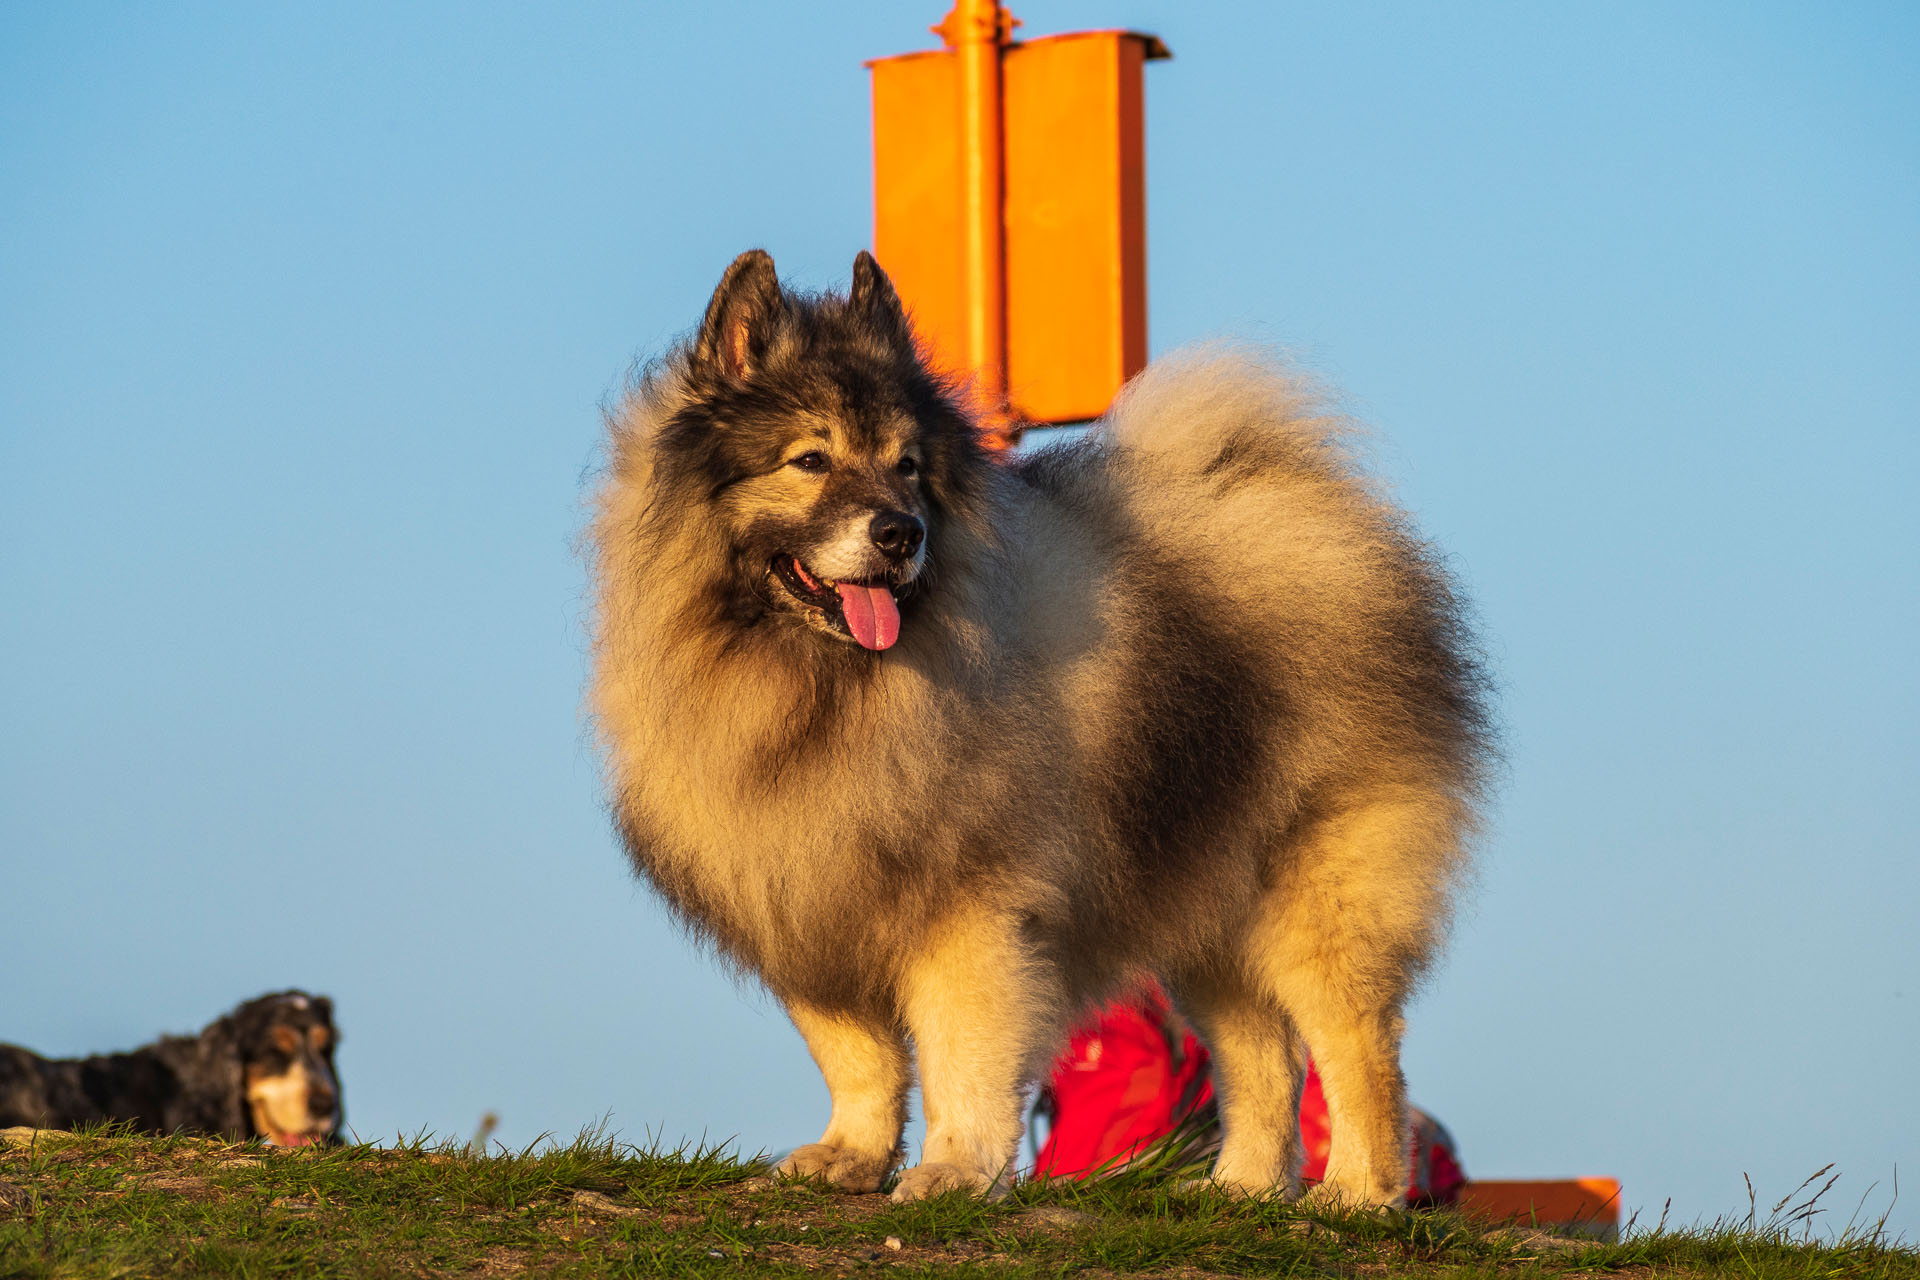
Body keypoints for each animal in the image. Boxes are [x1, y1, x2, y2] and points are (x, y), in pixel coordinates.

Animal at [591, 253, 1489, 1212]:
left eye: (908, 467)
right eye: (810, 460)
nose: (901, 533)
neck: (820, 689)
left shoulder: (970, 909)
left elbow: (962, 1055)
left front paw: (955, 1168)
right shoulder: (813, 896)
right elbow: (858, 1059)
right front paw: (852, 1155)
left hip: (1315, 893)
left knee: (1356, 1044)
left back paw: (1358, 1190)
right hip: (1210, 898)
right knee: (1263, 1054)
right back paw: (1239, 1189)